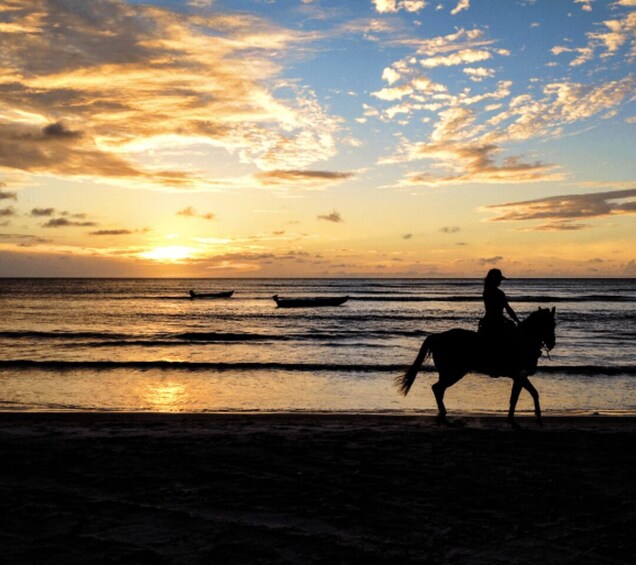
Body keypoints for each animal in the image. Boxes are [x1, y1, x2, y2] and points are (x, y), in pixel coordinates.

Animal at [398, 308, 556, 428]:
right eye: (549, 324)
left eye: (554, 324)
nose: (552, 343)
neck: (523, 341)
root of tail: (438, 336)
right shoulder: (519, 375)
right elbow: (515, 398)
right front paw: (514, 422)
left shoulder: (520, 376)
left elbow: (533, 393)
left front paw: (538, 419)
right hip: (454, 373)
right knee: (437, 388)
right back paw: (444, 418)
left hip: (448, 373)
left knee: (439, 390)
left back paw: (443, 419)